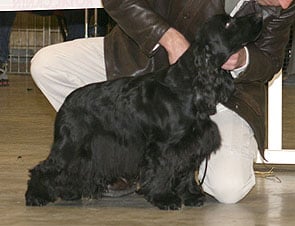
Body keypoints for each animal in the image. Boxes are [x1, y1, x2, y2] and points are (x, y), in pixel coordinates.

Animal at [24, 13, 262, 209]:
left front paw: (191, 196)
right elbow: (163, 170)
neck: (188, 84)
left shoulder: (191, 143)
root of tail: (67, 101)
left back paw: (69, 192)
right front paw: (164, 198)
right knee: (44, 168)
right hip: (70, 143)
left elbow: (186, 171)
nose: (258, 16)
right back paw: (35, 196)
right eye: (228, 23)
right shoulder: (164, 146)